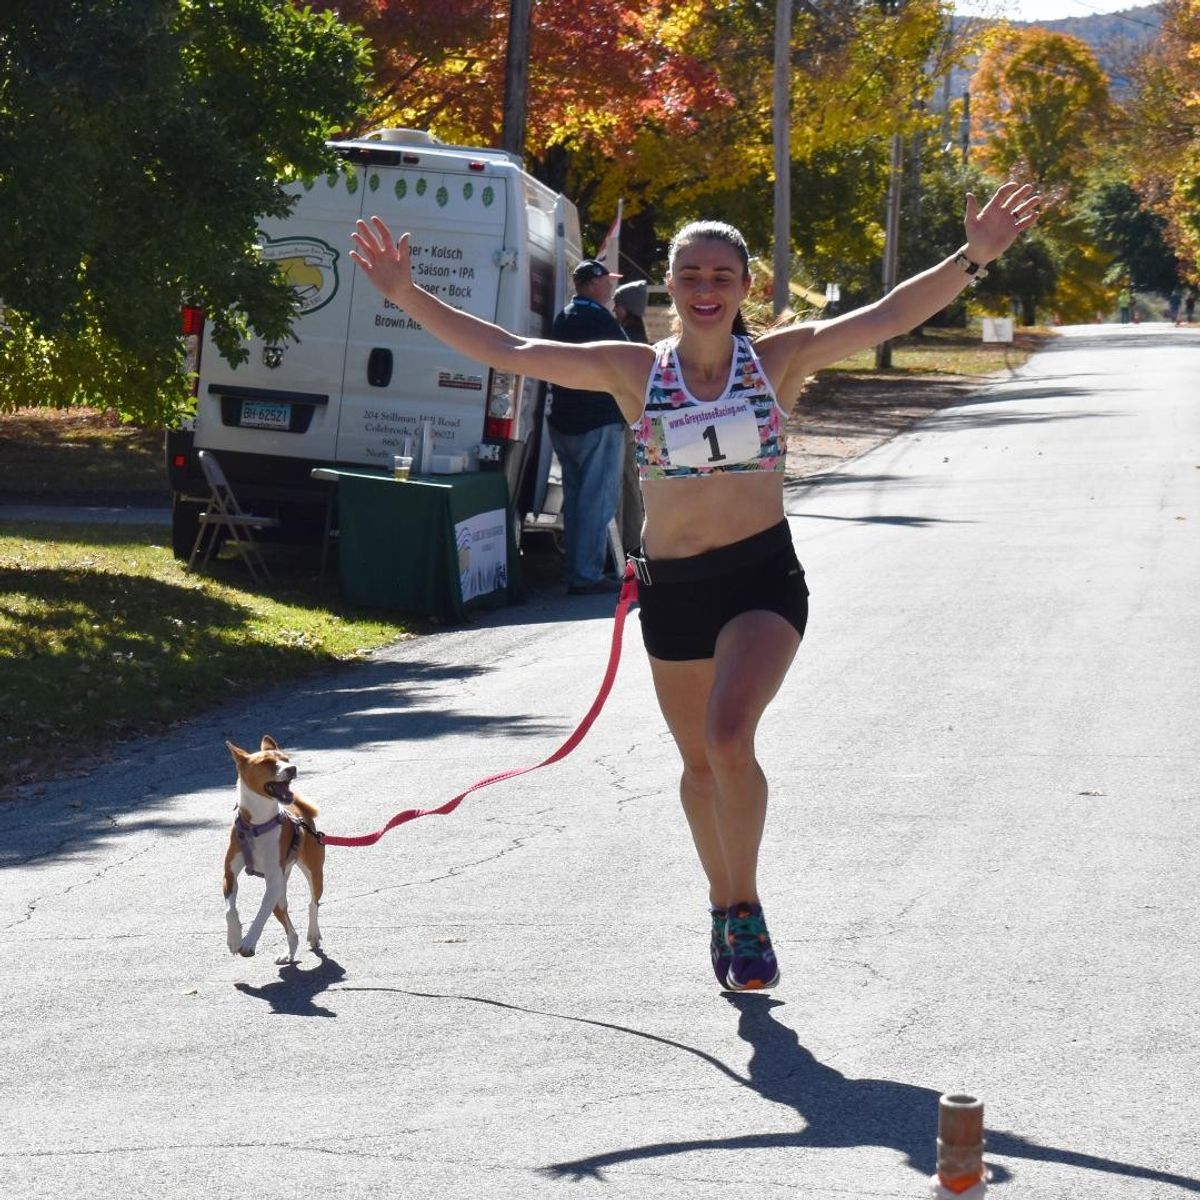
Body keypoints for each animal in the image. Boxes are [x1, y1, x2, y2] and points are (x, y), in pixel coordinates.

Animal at [222, 729, 324, 964]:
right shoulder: (229, 875)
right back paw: (289, 953)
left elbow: (260, 913)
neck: (257, 825)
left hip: (313, 874)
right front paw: (233, 939)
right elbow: (230, 911)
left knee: (312, 904)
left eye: (286, 759)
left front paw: (248, 942)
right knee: (290, 929)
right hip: (280, 896)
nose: (292, 768)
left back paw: (313, 933)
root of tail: (299, 809)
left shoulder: (273, 881)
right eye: (267, 762)